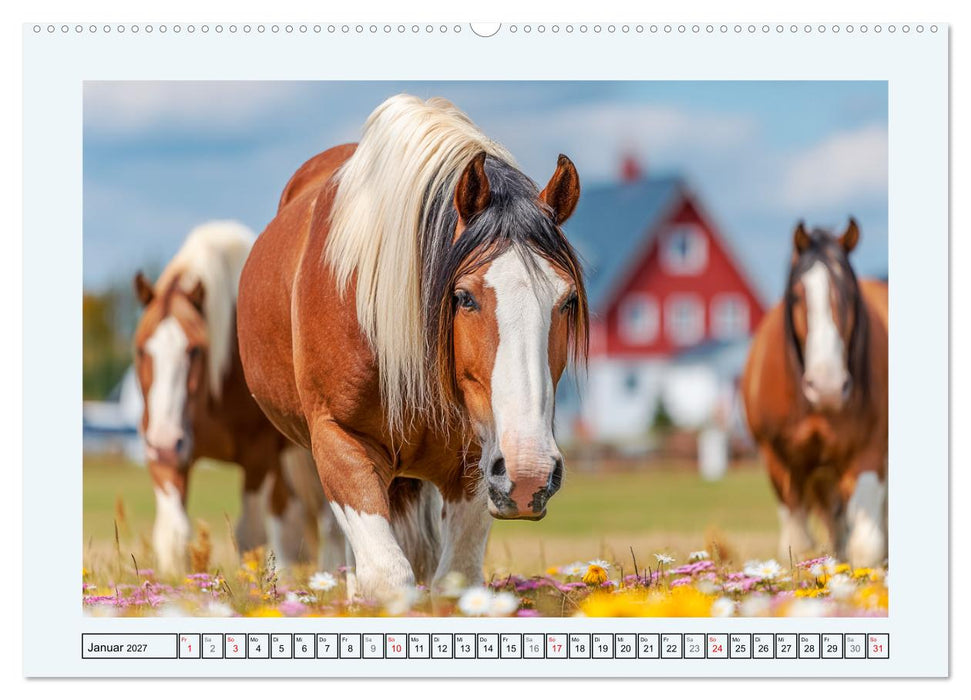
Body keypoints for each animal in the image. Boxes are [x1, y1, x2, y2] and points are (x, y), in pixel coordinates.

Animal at [132, 221, 341, 576]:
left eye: (196, 350)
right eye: (141, 349)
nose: (165, 441)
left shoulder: (259, 457)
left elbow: (250, 537)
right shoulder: (166, 457)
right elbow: (175, 534)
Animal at [236, 95, 588, 600]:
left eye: (568, 300)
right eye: (463, 297)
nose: (529, 474)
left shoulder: (476, 464)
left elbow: (453, 578)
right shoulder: (339, 441)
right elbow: (386, 578)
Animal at [741, 219, 888, 568]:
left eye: (849, 292)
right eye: (796, 295)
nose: (828, 387)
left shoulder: (869, 455)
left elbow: (866, 548)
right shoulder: (780, 464)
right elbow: (798, 548)